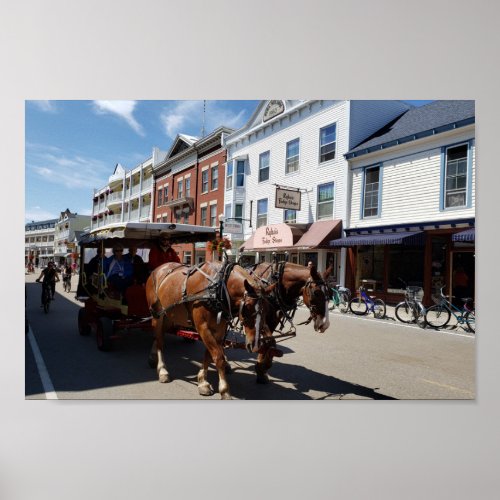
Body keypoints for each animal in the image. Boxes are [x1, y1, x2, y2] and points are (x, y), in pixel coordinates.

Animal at [146, 260, 274, 400]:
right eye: (248, 306)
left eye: (268, 308)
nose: (255, 345)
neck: (218, 287)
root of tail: (156, 270)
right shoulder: (203, 327)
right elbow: (218, 357)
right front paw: (224, 390)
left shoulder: (218, 330)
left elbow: (208, 356)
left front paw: (203, 381)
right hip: (157, 315)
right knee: (160, 341)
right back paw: (162, 370)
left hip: (169, 316)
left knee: (159, 335)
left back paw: (153, 357)